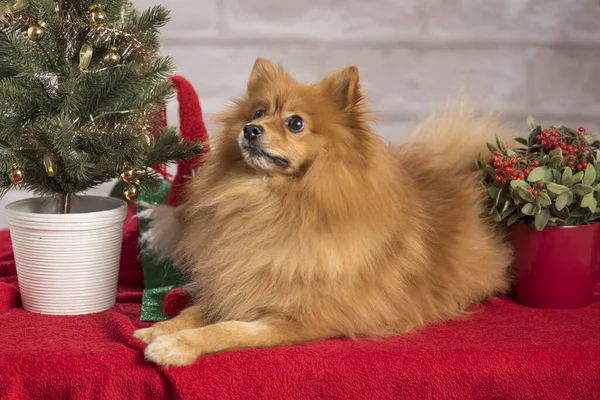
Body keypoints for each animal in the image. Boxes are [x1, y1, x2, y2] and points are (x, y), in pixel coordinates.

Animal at [135, 57, 510, 368]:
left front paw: (176, 345)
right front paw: (160, 329)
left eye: (295, 123)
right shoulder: (237, 282)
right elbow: (195, 309)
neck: (274, 201)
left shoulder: (300, 318)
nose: (250, 129)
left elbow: (229, 329)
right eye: (258, 113)